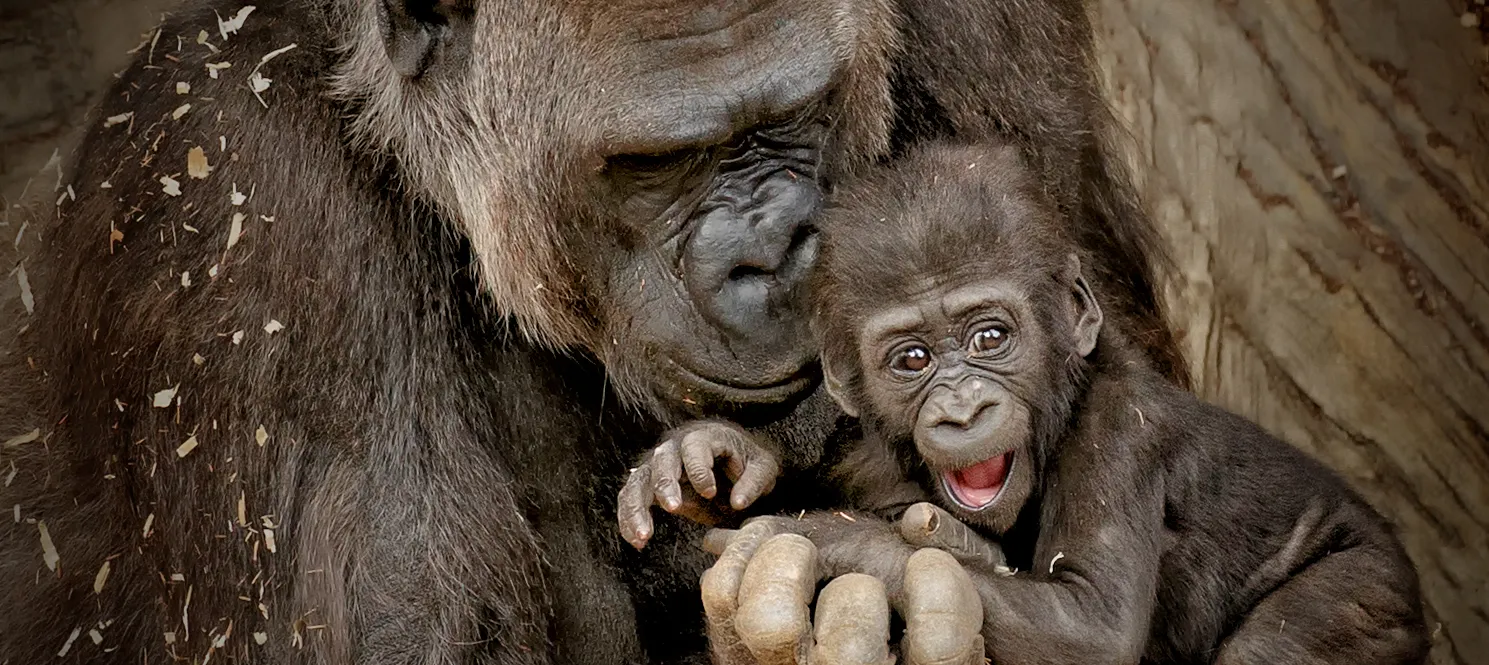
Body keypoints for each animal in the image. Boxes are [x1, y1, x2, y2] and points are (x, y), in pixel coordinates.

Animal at [621, 142, 1430, 665]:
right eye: (911, 359)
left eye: (990, 337)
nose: (961, 407)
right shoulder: (878, 454)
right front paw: (720, 456)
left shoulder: (1119, 437)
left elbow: (1090, 626)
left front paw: (825, 539)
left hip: (1368, 588)